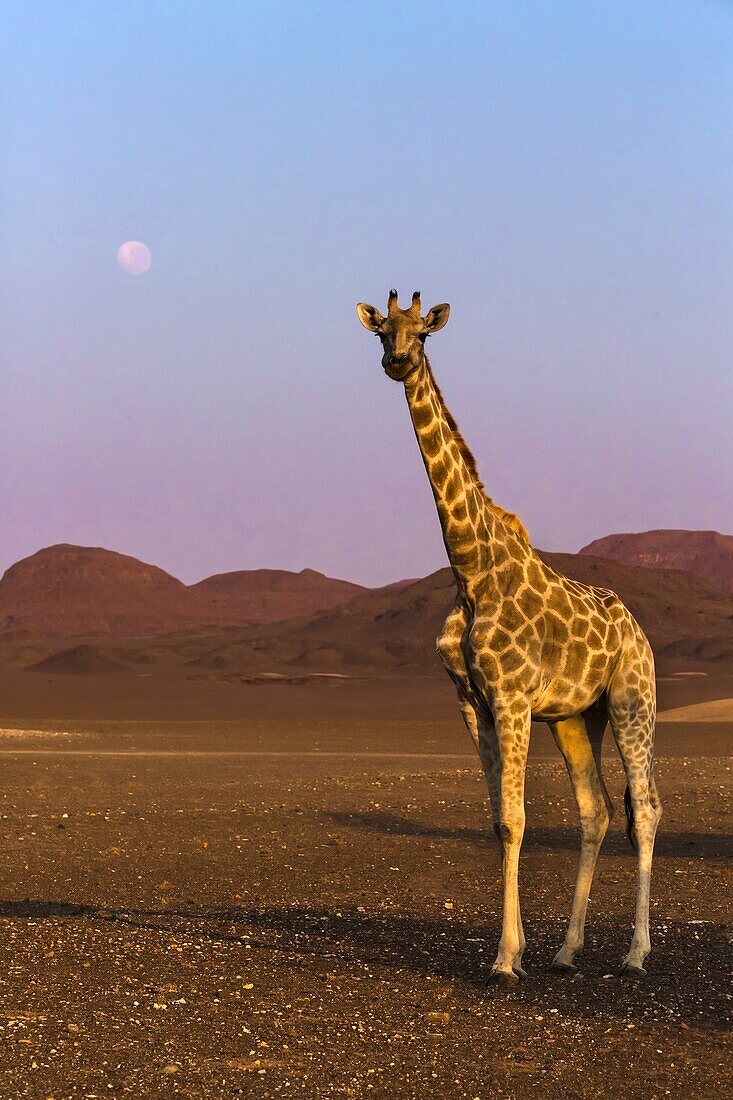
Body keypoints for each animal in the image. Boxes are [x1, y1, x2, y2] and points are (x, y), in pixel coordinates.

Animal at [356, 290, 660, 981]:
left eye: (423, 333)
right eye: (382, 331)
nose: (397, 361)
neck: (470, 570)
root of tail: (639, 631)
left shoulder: (513, 697)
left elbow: (518, 820)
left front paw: (501, 959)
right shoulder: (474, 702)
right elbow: (500, 821)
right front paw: (518, 949)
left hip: (632, 701)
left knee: (646, 808)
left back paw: (635, 953)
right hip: (577, 717)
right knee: (597, 809)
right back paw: (567, 951)